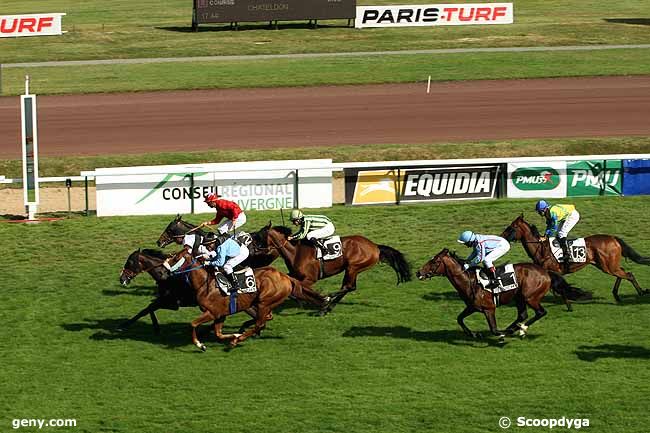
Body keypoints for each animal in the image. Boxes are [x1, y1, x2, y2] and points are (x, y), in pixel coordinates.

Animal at [162, 248, 304, 350]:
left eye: (175, 257)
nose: (163, 269)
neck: (205, 284)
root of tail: (286, 277)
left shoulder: (212, 312)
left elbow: (193, 324)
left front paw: (200, 344)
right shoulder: (220, 315)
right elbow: (218, 333)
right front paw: (234, 334)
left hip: (264, 303)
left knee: (259, 323)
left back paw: (236, 341)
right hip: (263, 304)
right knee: (264, 320)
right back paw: (241, 333)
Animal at [254, 224, 410, 312]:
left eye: (259, 235)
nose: (253, 249)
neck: (295, 252)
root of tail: (375, 247)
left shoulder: (310, 279)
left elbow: (302, 288)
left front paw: (321, 300)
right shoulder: (295, 275)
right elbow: (294, 287)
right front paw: (306, 301)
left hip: (353, 267)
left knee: (349, 286)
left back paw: (327, 302)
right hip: (352, 269)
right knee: (349, 286)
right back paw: (329, 305)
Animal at [416, 248, 572, 340]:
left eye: (434, 261)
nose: (419, 272)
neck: (469, 281)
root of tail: (546, 272)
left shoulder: (489, 309)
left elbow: (494, 329)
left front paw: (501, 335)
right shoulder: (472, 307)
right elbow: (459, 319)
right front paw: (474, 334)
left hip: (530, 297)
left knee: (540, 312)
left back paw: (521, 329)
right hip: (519, 298)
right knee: (522, 315)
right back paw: (513, 329)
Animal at [502, 214, 648, 302]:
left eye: (511, 227)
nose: (502, 236)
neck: (541, 248)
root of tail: (613, 238)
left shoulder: (553, 271)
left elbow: (562, 286)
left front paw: (578, 295)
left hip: (608, 266)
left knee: (628, 274)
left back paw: (641, 292)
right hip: (606, 265)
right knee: (623, 272)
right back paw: (617, 294)